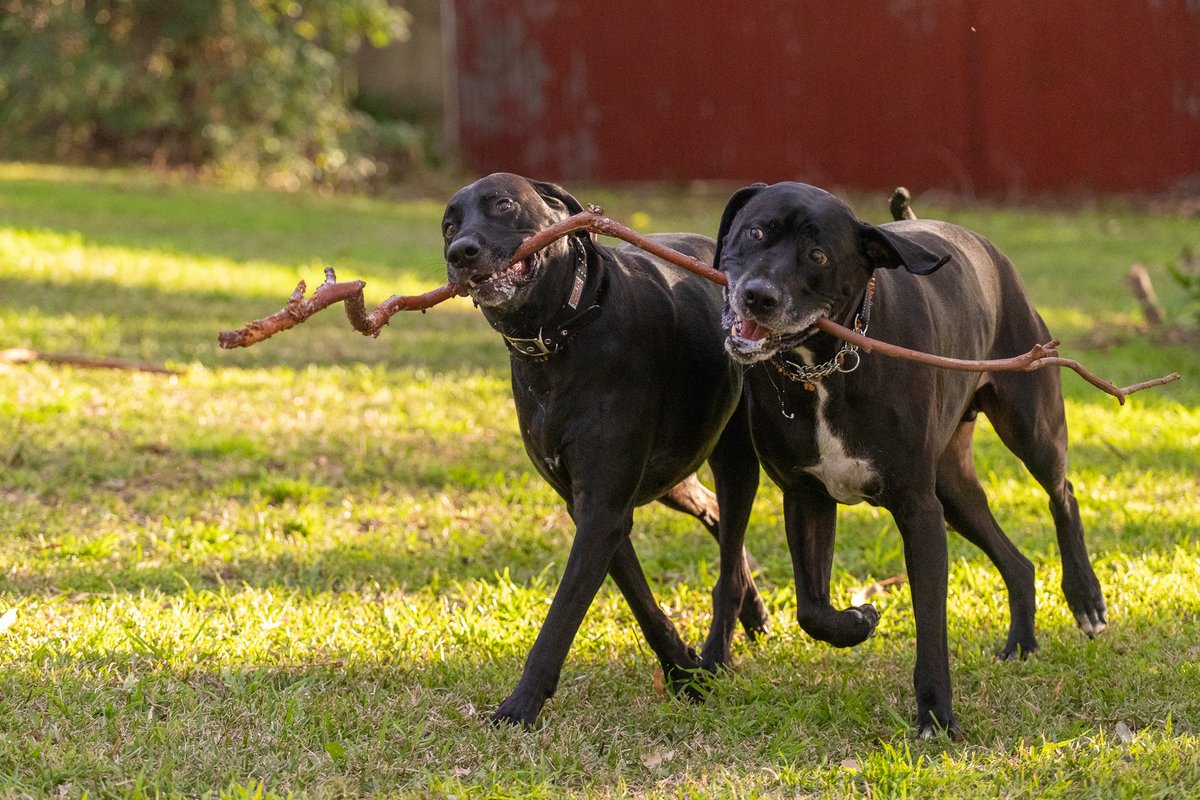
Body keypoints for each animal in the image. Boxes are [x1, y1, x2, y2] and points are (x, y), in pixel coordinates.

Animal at [441, 173, 768, 724]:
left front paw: (521, 706)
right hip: (675, 477)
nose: (460, 251)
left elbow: (561, 617)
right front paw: (680, 670)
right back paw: (751, 612)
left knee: (727, 560)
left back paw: (720, 652)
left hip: (737, 458)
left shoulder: (603, 511)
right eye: (448, 225)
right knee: (715, 516)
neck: (558, 338)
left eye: (503, 204)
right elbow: (643, 604)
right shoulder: (590, 507)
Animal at [710, 183, 1104, 738]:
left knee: (1062, 493)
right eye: (756, 231)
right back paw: (1022, 643)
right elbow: (812, 609)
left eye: (818, 255)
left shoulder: (918, 512)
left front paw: (936, 715)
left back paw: (1086, 598)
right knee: (1019, 562)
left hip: (1030, 426)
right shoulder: (806, 498)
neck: (828, 367)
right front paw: (858, 621)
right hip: (952, 490)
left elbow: (931, 626)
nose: (758, 295)